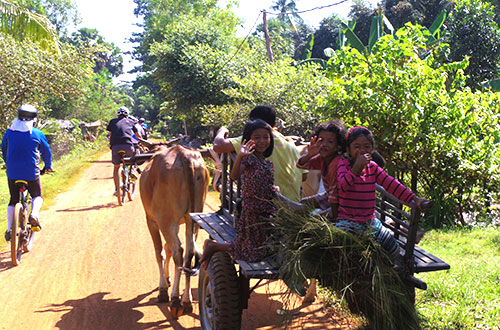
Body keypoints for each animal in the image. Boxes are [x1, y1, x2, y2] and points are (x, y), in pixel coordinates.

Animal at [139, 144, 209, 318]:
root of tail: (183, 154)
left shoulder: (152, 220)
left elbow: (160, 252)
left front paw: (163, 288)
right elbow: (168, 249)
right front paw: (167, 278)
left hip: (166, 220)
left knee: (179, 250)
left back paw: (175, 300)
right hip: (194, 217)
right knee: (189, 252)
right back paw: (187, 301)